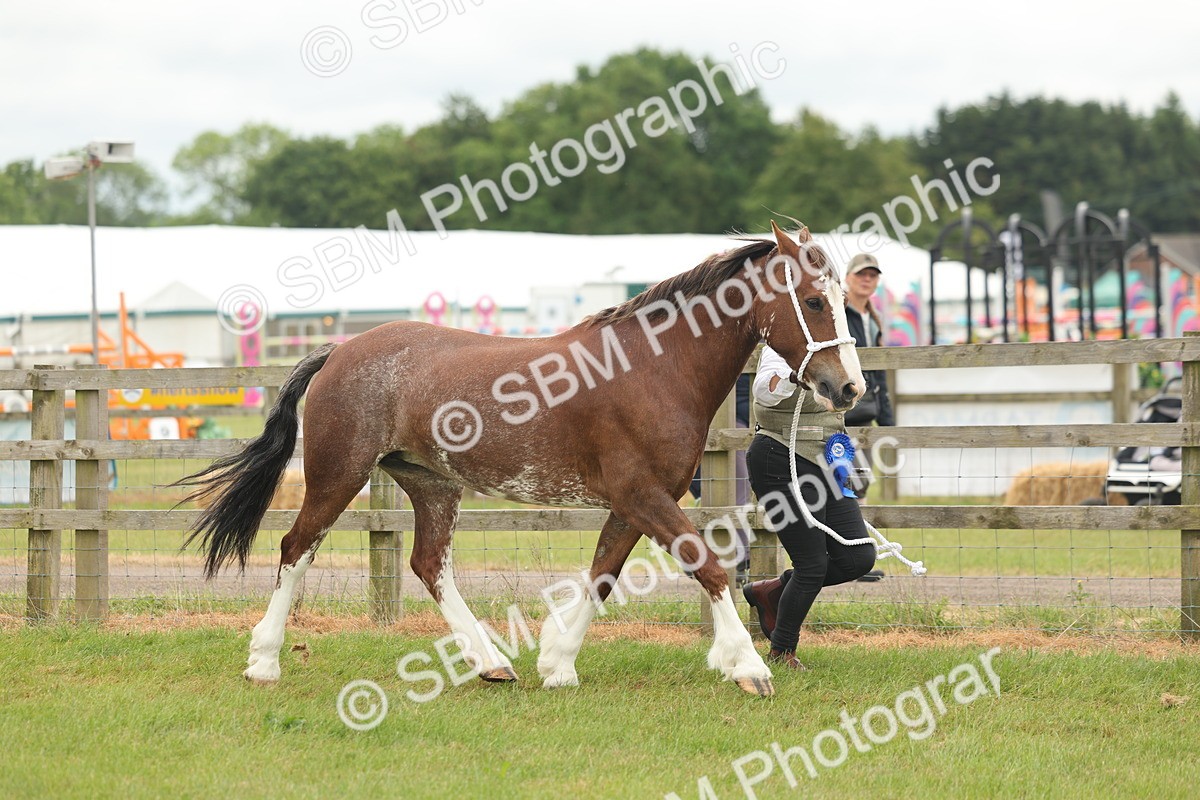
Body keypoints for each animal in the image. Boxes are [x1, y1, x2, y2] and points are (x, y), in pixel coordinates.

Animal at [176, 221, 865, 697]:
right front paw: (746, 666)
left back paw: (491, 663)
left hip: (431, 484)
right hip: (337, 474)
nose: (848, 388)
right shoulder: (643, 495)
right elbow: (710, 566)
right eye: (813, 300)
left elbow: (603, 575)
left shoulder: (636, 501)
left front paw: (557, 663)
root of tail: (340, 349)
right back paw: (264, 660)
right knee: (297, 549)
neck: (653, 368)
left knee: (429, 565)